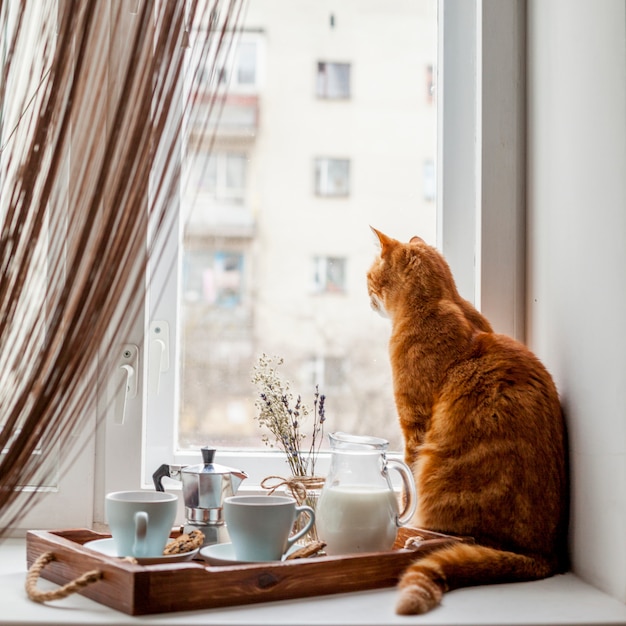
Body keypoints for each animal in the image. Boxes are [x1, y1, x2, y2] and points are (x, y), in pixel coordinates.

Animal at [366, 227, 564, 612]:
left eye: (369, 276)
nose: (365, 293)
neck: (441, 301)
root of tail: (540, 556)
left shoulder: (415, 422)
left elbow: (408, 477)